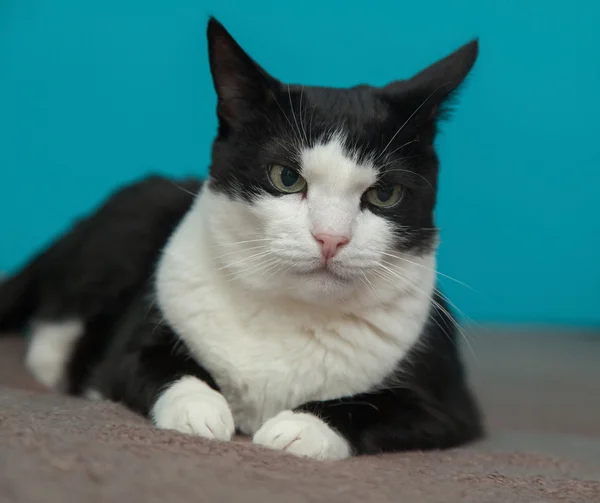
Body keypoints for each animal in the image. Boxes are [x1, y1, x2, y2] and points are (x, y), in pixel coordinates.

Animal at [0, 18, 482, 460]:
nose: (331, 238)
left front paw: (300, 428)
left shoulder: (448, 403)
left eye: (384, 195)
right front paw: (200, 408)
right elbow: (146, 364)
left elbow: (375, 406)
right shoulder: (128, 345)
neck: (290, 312)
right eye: (286, 178)